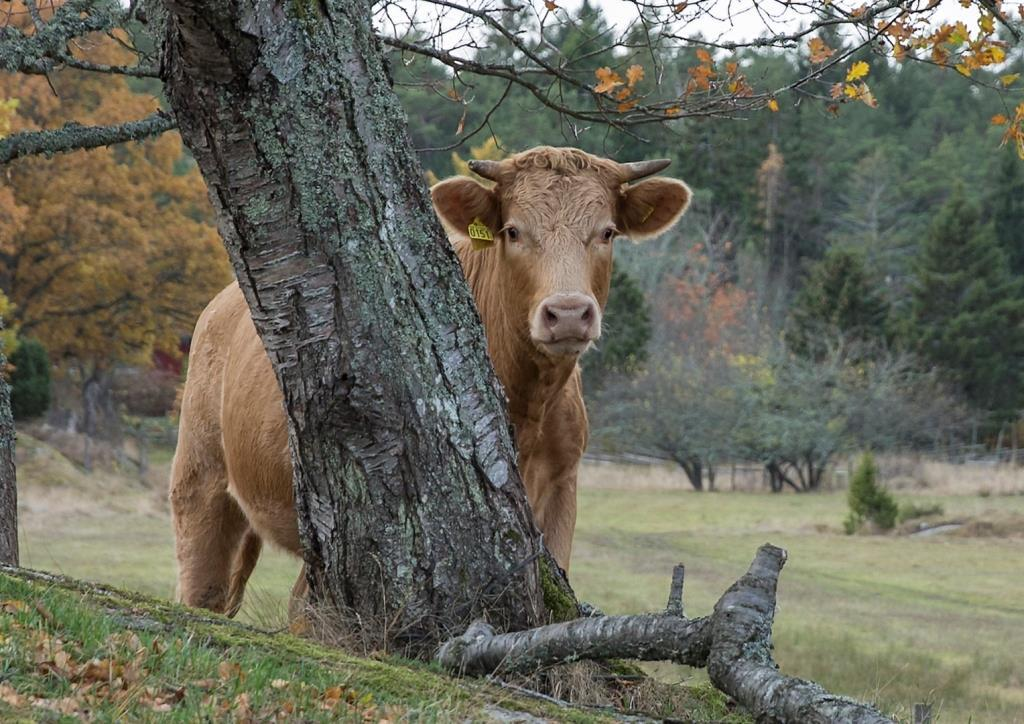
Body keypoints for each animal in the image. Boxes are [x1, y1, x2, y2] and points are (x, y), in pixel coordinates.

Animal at [172, 147, 692, 618]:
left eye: (606, 232)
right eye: (513, 231)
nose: (567, 312)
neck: (530, 406)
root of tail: (222, 303)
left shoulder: (561, 490)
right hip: (201, 482)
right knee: (205, 592)